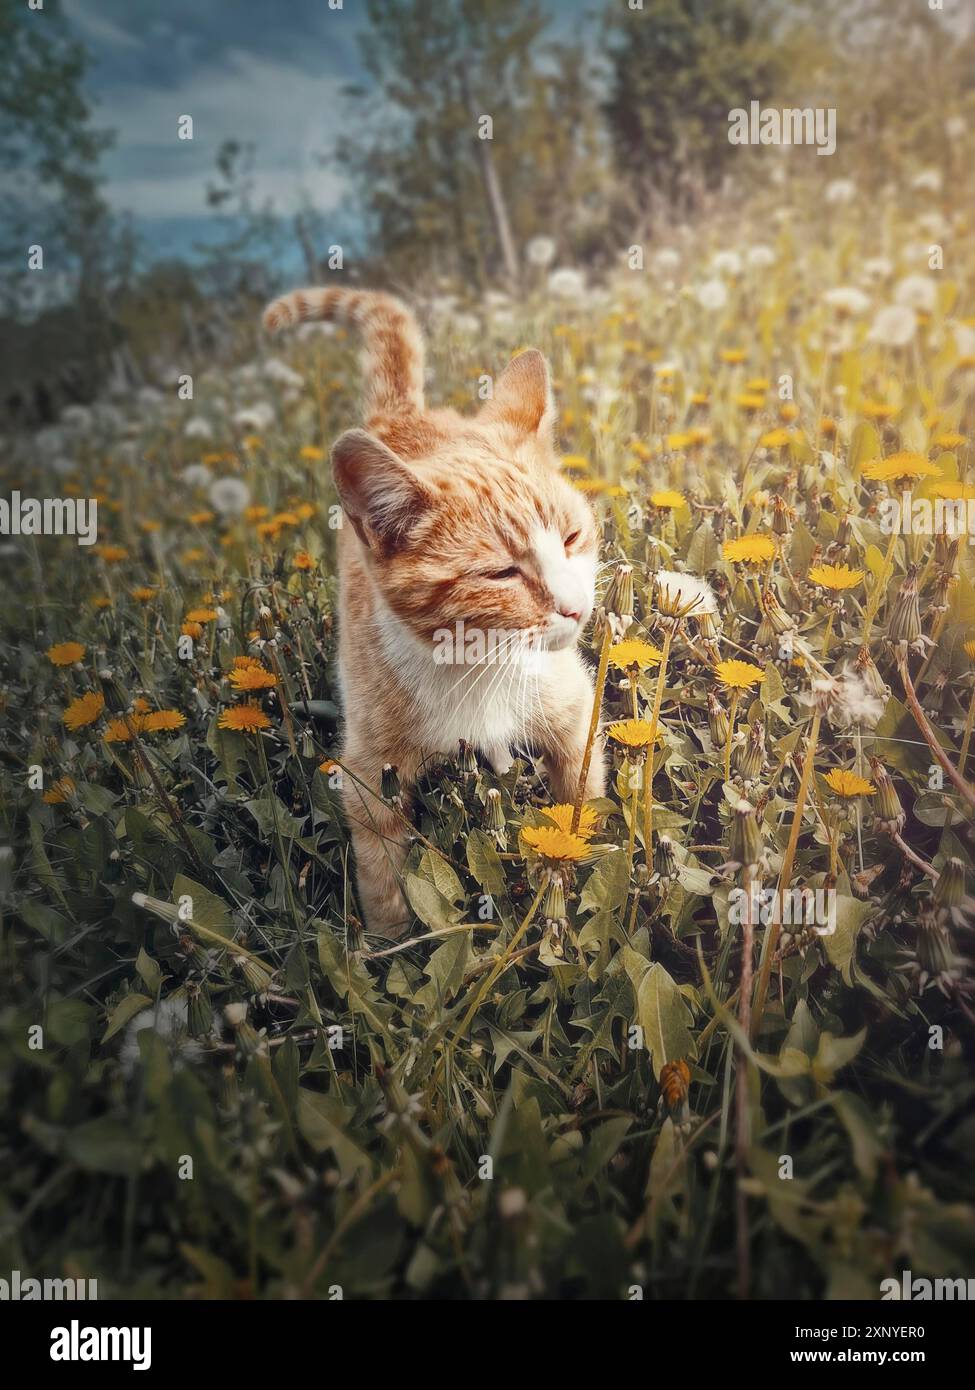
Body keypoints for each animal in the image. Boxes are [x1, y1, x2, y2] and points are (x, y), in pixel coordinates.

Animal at [262, 287, 603, 939]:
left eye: (572, 537)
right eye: (501, 573)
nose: (574, 609)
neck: (477, 669)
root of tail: (401, 417)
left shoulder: (575, 714)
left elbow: (578, 807)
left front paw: (569, 882)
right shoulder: (370, 775)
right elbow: (383, 876)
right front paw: (391, 944)